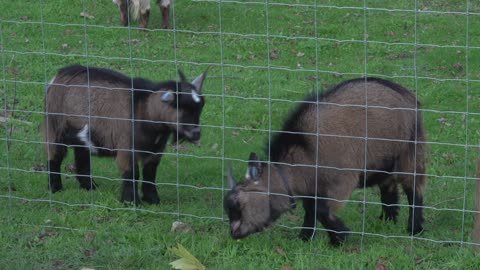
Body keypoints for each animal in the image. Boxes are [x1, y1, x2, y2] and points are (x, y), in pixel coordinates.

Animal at [44, 64, 208, 204]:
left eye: (200, 107)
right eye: (181, 107)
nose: (196, 134)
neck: (144, 110)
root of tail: (59, 75)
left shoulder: (155, 150)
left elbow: (150, 173)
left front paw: (153, 199)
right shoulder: (127, 147)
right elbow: (132, 173)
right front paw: (132, 202)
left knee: (82, 154)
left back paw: (90, 186)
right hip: (54, 127)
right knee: (54, 156)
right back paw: (55, 188)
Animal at [225, 77, 428, 246]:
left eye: (239, 206)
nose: (234, 234)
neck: (305, 152)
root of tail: (407, 95)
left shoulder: (341, 181)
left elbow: (321, 209)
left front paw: (339, 238)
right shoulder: (311, 187)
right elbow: (310, 209)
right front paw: (306, 237)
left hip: (410, 150)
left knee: (414, 189)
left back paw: (414, 228)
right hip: (384, 160)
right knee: (389, 186)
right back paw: (388, 220)